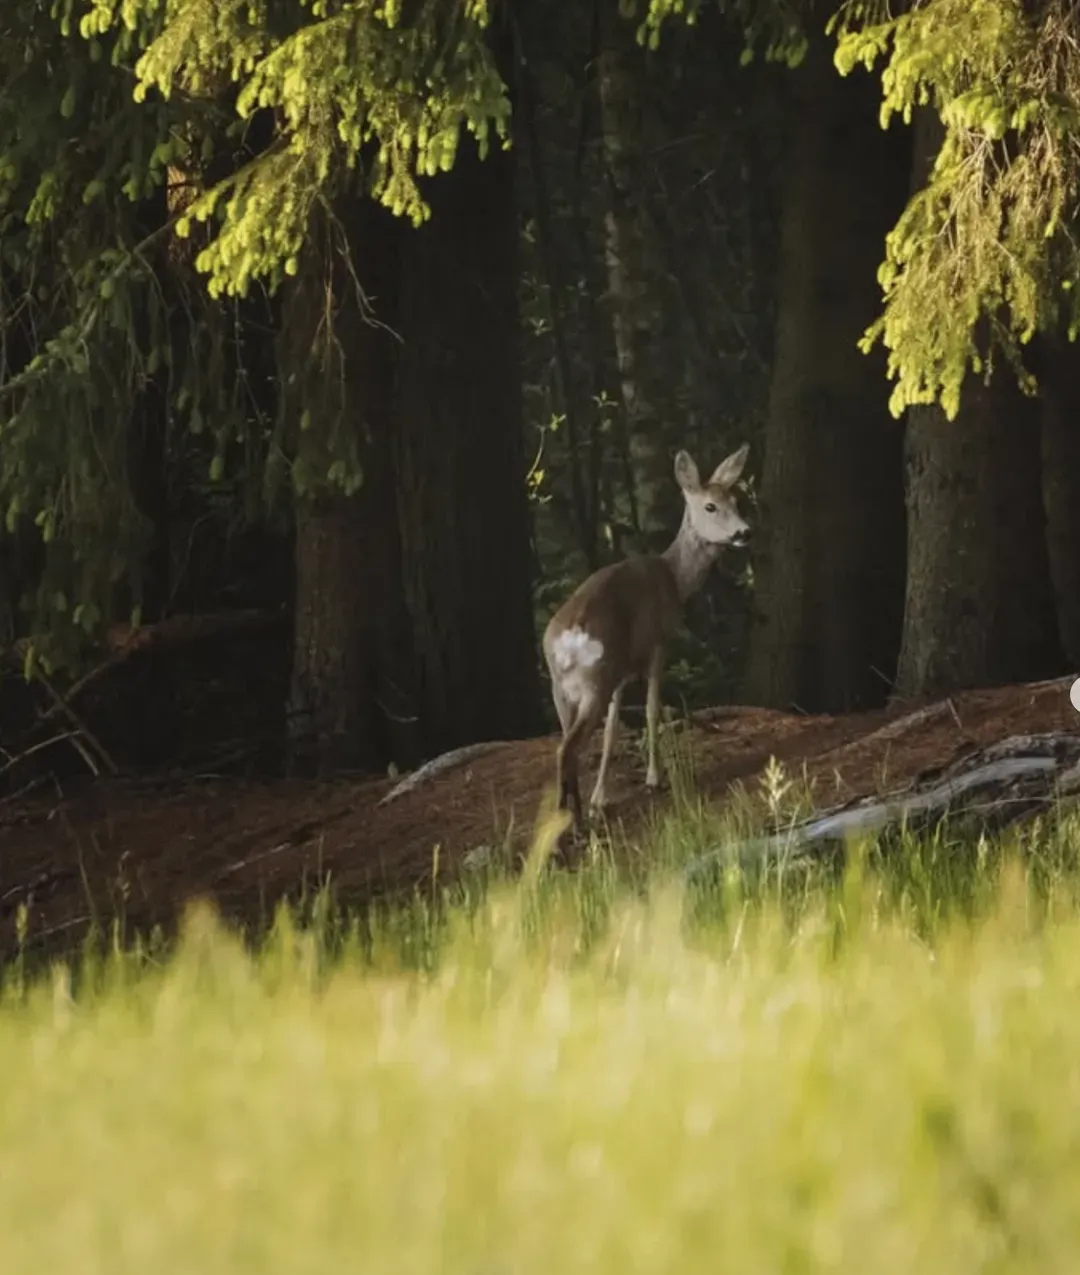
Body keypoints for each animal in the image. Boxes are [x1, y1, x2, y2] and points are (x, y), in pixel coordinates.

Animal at [542, 443, 751, 833]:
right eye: (710, 506)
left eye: (736, 499)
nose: (745, 532)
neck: (674, 578)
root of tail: (567, 642)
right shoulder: (658, 643)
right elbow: (654, 710)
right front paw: (654, 779)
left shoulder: (623, 669)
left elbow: (613, 730)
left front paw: (600, 798)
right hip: (594, 680)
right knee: (567, 748)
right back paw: (571, 824)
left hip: (563, 688)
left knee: (567, 743)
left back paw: (572, 814)